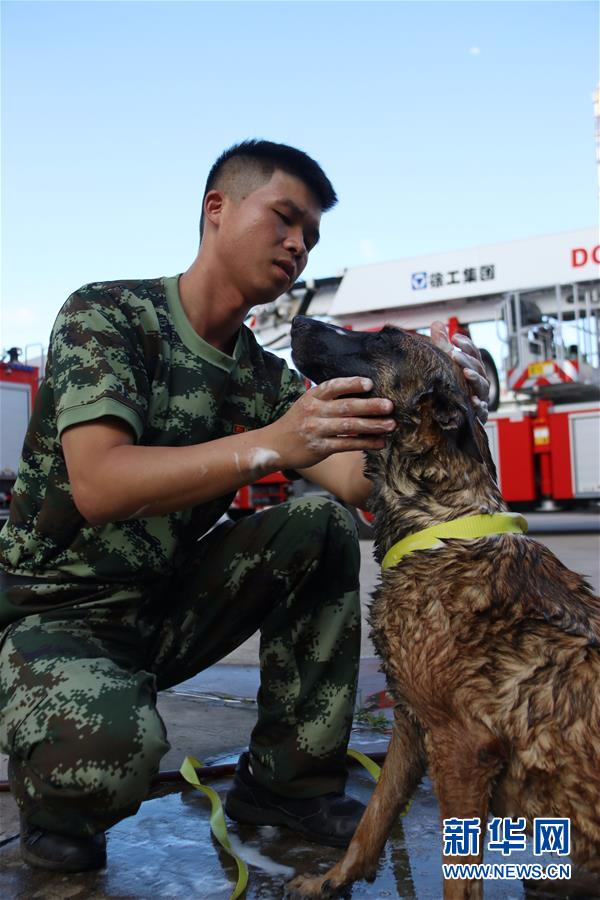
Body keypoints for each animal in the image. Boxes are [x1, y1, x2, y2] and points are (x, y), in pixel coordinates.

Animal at [288, 314, 600, 892]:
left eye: (385, 337)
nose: (298, 319)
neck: (441, 522)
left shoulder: (461, 748)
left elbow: (457, 878)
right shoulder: (412, 724)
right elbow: (374, 818)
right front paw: (331, 881)